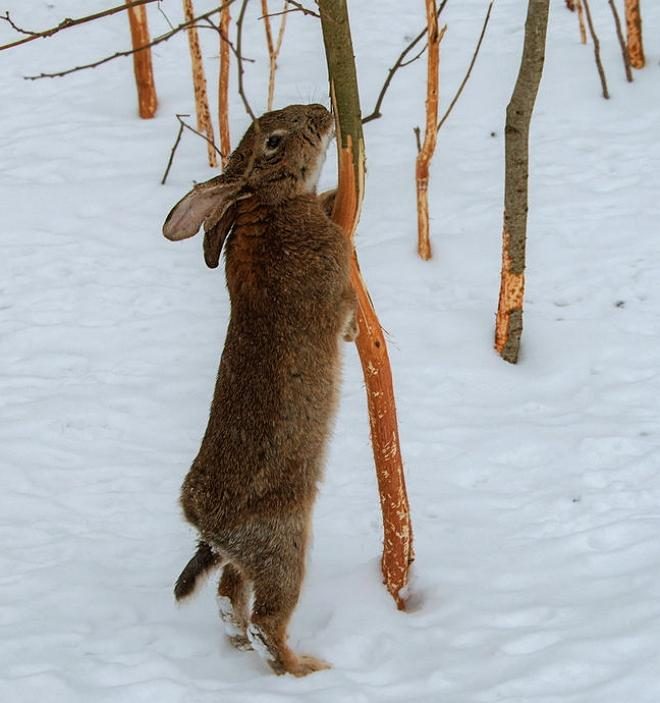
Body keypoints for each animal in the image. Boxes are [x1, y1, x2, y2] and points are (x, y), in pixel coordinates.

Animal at [163, 103, 358, 676]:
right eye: (272, 141)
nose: (322, 112)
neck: (268, 205)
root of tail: (205, 524)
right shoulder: (335, 283)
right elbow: (345, 313)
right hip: (283, 544)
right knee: (265, 619)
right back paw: (306, 670)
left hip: (249, 558)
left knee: (229, 598)